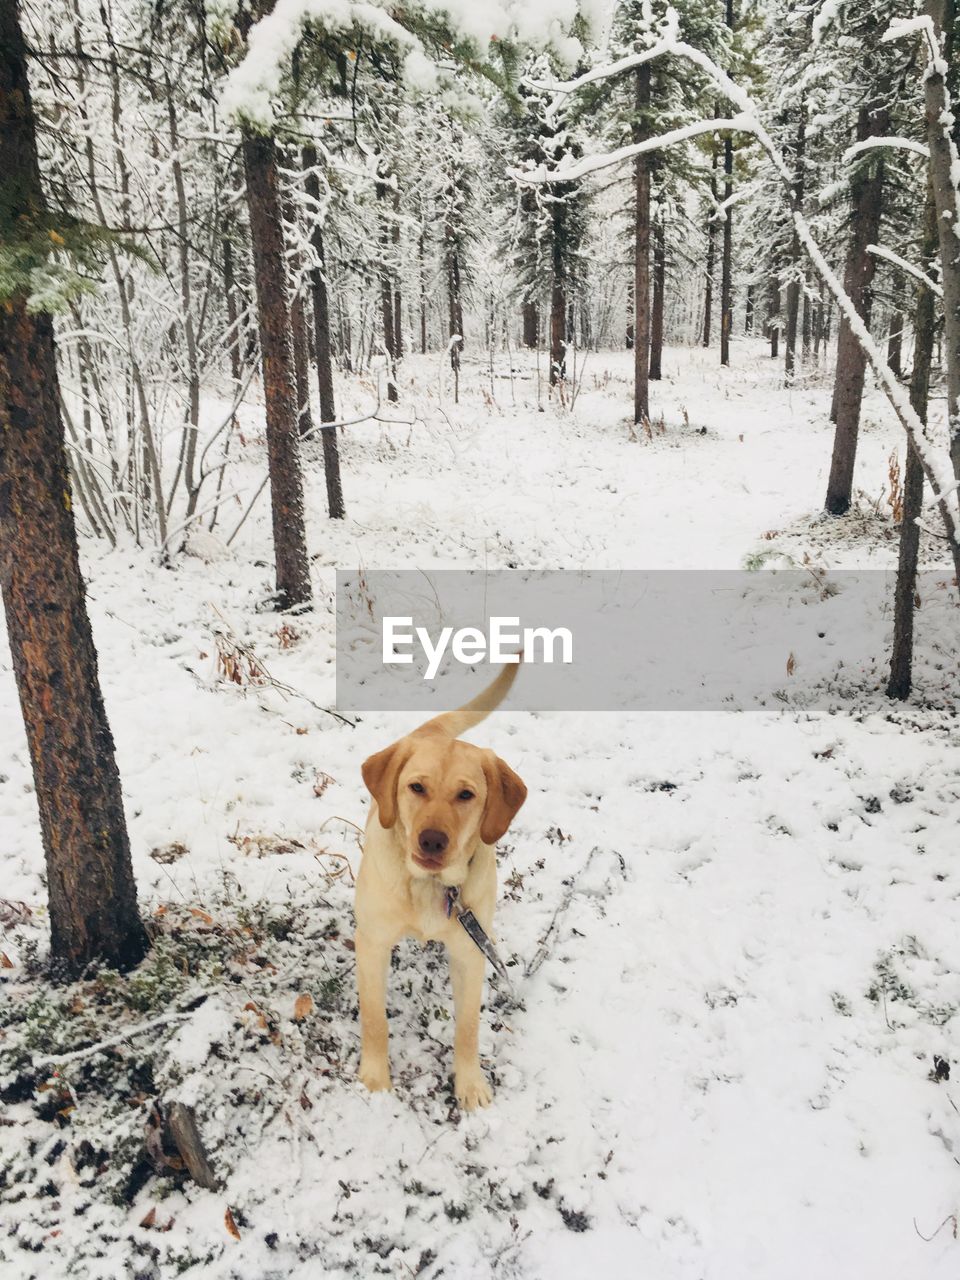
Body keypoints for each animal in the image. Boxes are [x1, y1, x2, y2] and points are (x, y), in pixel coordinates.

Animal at [358, 665, 527, 1105]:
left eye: (466, 794)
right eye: (416, 787)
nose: (432, 841)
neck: (430, 886)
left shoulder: (470, 954)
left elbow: (467, 1028)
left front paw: (470, 1085)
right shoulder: (372, 945)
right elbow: (374, 1020)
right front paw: (375, 1079)